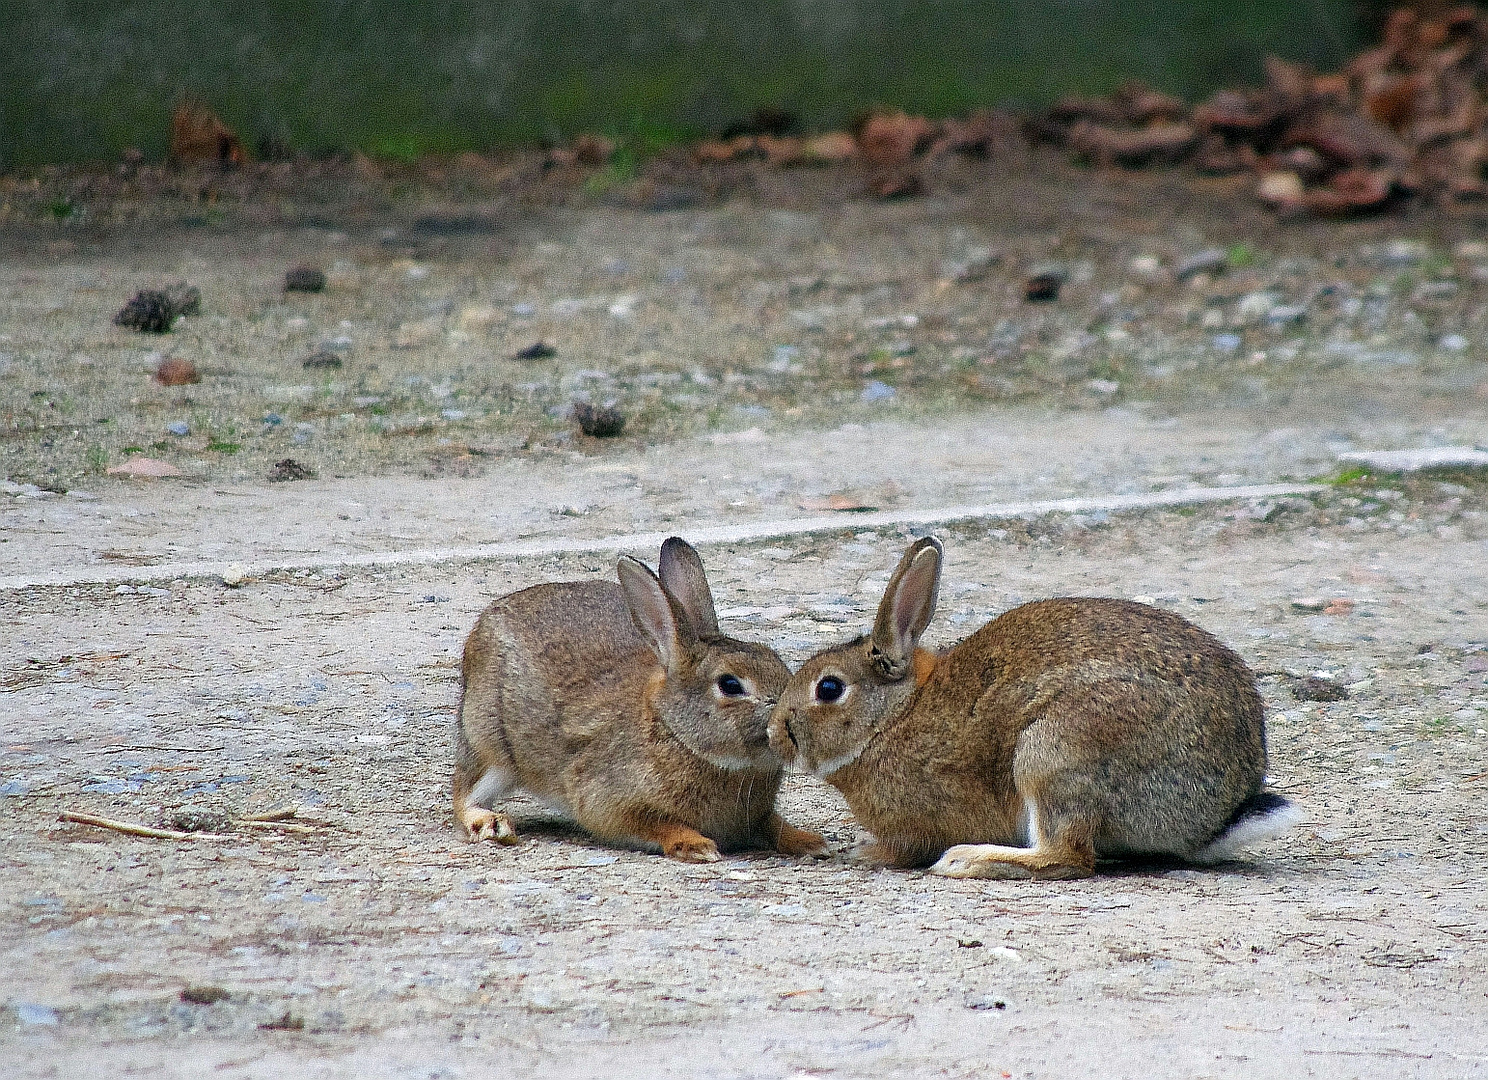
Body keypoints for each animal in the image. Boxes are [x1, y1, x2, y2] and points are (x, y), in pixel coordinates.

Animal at [452, 538, 827, 868]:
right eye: (730, 684)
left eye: (776, 659)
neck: (675, 733)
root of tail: (483, 623)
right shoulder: (607, 802)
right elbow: (655, 824)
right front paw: (696, 845)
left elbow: (772, 825)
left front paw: (810, 842)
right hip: (489, 742)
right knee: (463, 794)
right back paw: (491, 823)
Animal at [767, 538, 1303, 886]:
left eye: (829, 688)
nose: (774, 733)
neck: (892, 717)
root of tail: (1215, 817)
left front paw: (864, 853)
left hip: (1054, 753)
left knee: (1068, 857)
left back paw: (968, 861)